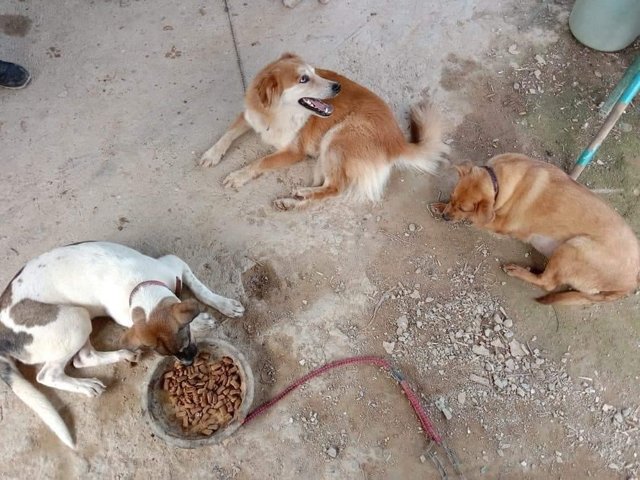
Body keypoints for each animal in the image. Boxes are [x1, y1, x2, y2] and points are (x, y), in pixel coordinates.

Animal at [0, 242, 244, 448]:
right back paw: (86, 385)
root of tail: (3, 334)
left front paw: (223, 304)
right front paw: (202, 320)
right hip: (75, 319)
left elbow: (200, 288)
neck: (140, 289)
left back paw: (123, 355)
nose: (188, 363)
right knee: (48, 375)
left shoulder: (175, 264)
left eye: (186, 344)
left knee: (83, 358)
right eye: (173, 352)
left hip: (81, 318)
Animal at [200, 53, 450, 210]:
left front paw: (238, 176)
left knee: (335, 188)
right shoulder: (249, 116)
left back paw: (297, 199)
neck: (275, 114)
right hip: (325, 154)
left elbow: (259, 162)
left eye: (315, 72)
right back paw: (293, 200)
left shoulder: (293, 152)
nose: (337, 86)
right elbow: (228, 134)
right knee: (327, 184)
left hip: (336, 139)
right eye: (304, 78)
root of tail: (397, 141)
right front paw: (212, 154)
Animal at [436, 154, 640, 304]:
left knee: (547, 283)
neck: (498, 180)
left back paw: (517, 271)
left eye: (464, 208)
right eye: (452, 197)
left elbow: (476, 218)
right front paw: (440, 206)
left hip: (574, 247)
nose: (445, 217)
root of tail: (629, 284)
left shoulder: (499, 223)